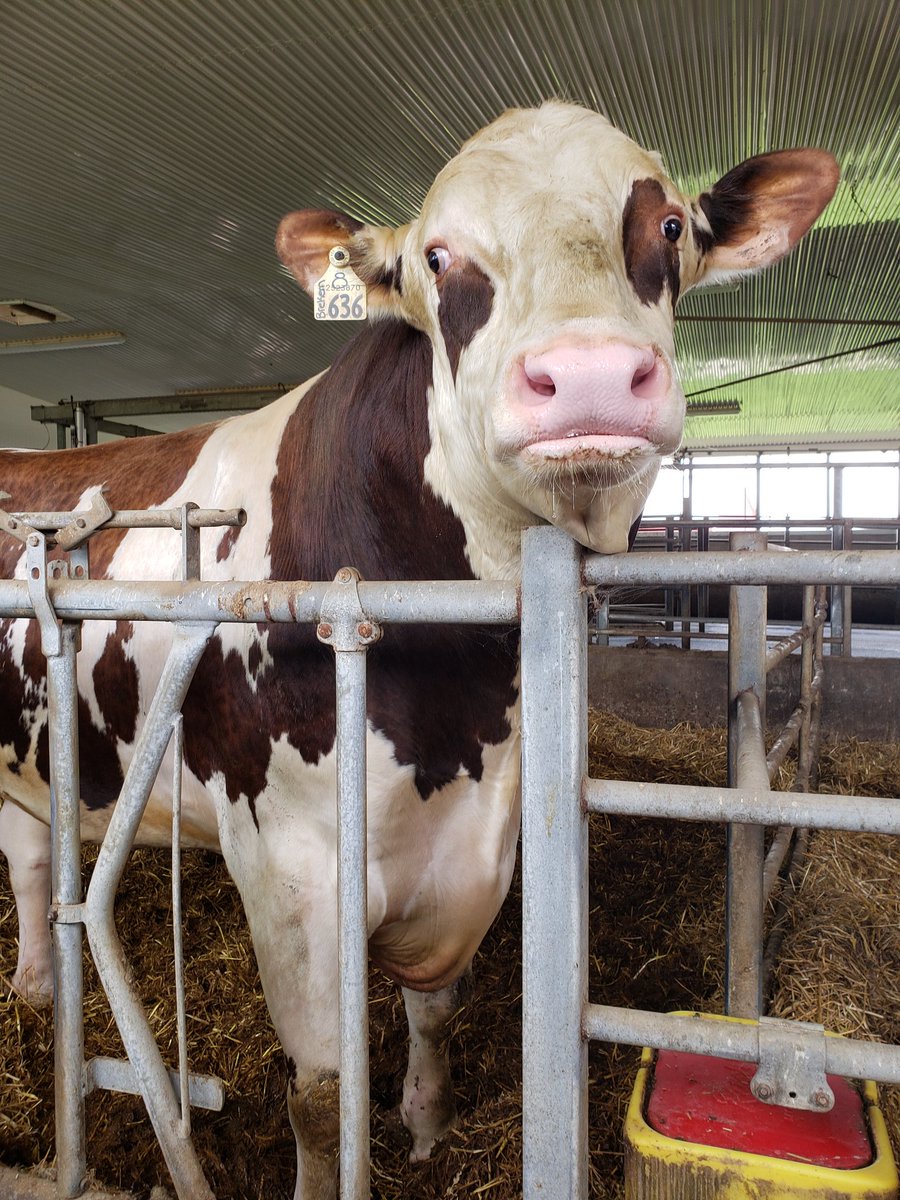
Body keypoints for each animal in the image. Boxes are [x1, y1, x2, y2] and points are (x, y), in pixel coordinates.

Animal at [0, 105, 840, 1200]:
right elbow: (320, 1097)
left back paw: (32, 987)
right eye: (438, 257)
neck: (460, 705)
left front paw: (430, 1126)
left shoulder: (478, 847)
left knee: (27, 859)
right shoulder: (292, 874)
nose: (590, 375)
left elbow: (437, 1011)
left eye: (667, 227)